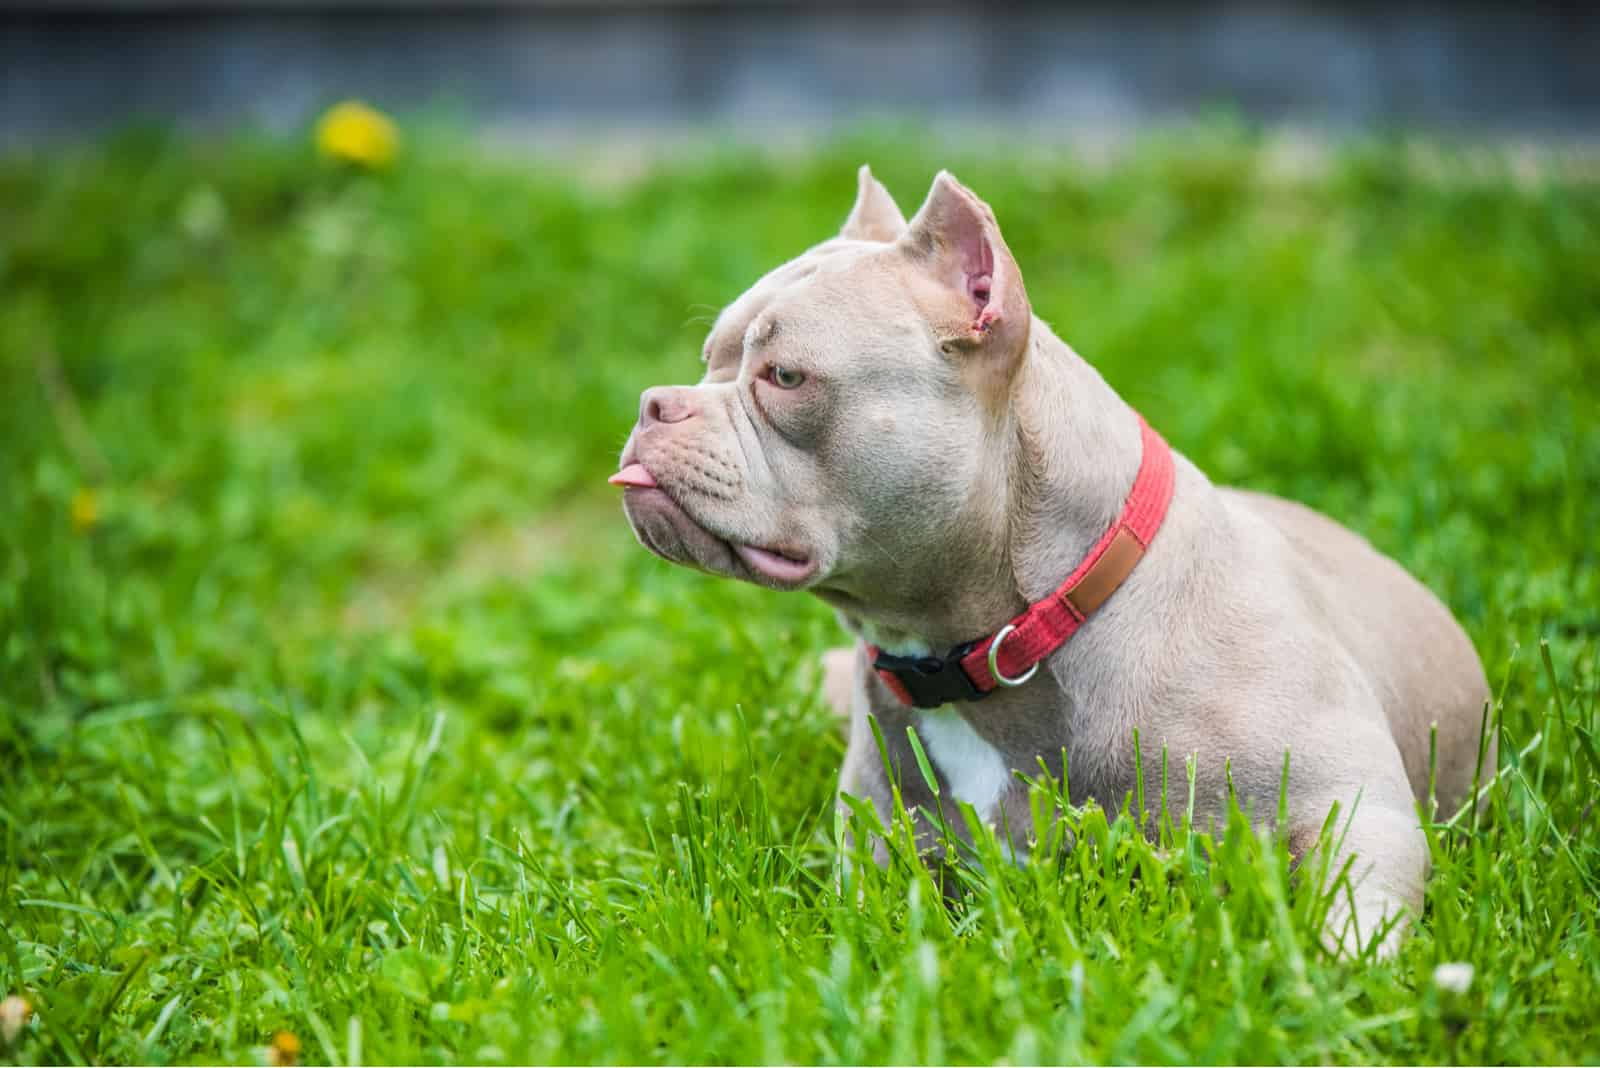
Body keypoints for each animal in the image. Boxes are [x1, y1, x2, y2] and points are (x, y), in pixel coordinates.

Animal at [614, 167, 1497, 959]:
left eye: (786, 376)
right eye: (709, 358)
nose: (654, 404)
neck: (1008, 636)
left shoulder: (1355, 806)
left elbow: (1352, 921)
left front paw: (1329, 988)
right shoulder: (882, 854)